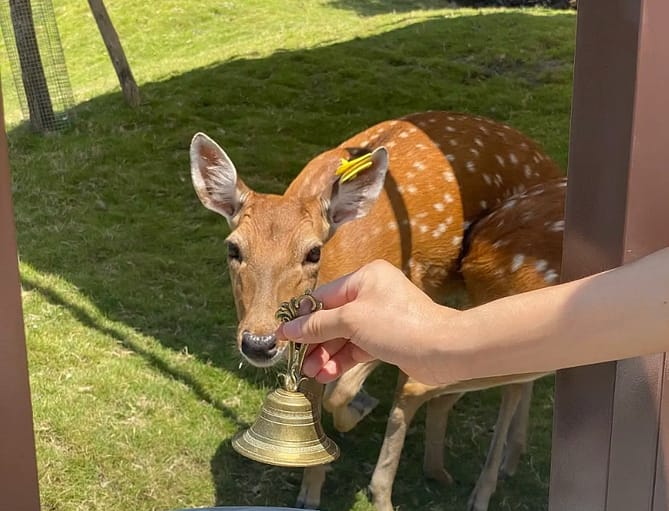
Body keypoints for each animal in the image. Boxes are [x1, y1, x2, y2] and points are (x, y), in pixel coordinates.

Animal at [189, 111, 563, 510]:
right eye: (233, 248)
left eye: (313, 252)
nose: (259, 343)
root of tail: (546, 159)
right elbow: (317, 397)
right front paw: (310, 492)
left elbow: (341, 394)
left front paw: (360, 409)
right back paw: (496, 461)